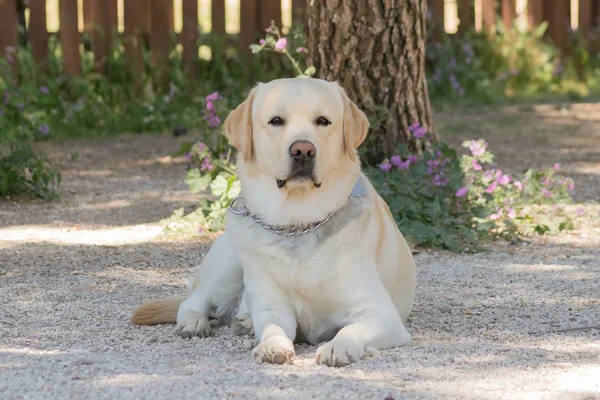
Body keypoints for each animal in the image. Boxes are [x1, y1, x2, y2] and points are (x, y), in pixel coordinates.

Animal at [133, 76, 414, 368]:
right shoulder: (273, 308)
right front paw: (271, 345)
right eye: (276, 121)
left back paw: (244, 321)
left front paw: (339, 346)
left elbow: (351, 329)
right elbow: (272, 328)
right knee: (192, 302)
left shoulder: (381, 313)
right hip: (228, 266)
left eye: (323, 121)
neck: (299, 224)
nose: (303, 150)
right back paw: (195, 323)